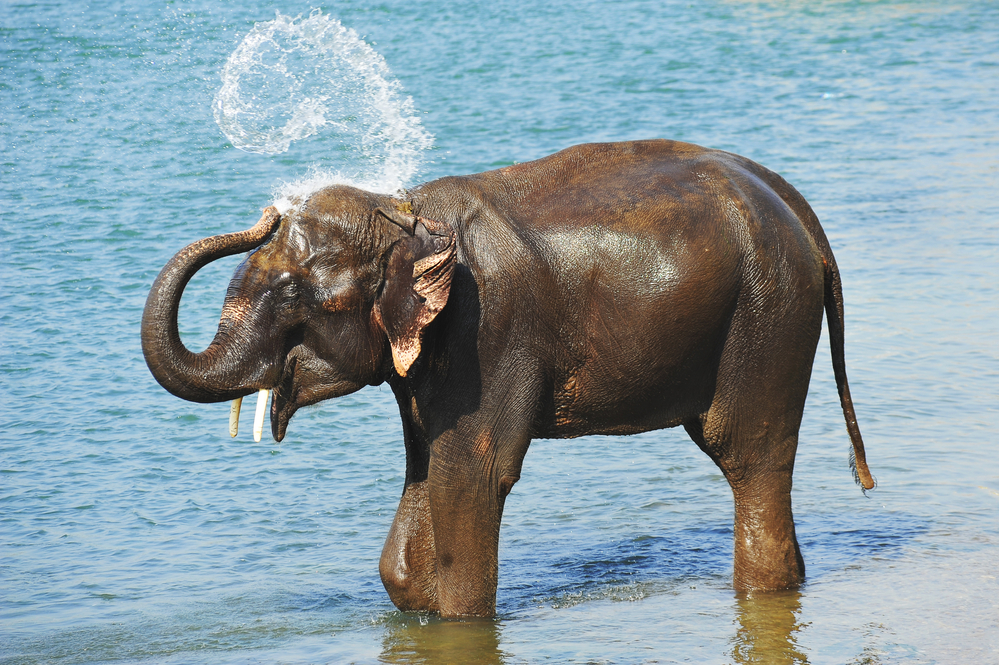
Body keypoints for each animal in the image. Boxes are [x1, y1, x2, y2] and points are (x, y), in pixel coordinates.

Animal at [141, 139, 876, 616]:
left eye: (295, 296)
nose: (267, 212)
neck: (409, 212)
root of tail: (795, 205)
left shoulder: (487, 331)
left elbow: (472, 475)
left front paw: (457, 620)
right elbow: (423, 476)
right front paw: (416, 597)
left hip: (768, 312)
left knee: (748, 456)